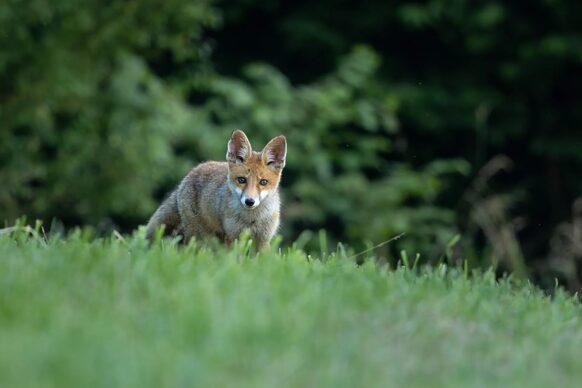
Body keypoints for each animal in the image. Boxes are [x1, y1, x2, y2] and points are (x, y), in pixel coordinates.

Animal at [146, 129, 288, 250]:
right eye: (242, 180)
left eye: (263, 182)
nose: (249, 201)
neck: (251, 219)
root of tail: (189, 174)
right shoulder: (232, 237)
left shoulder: (263, 240)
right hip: (198, 235)